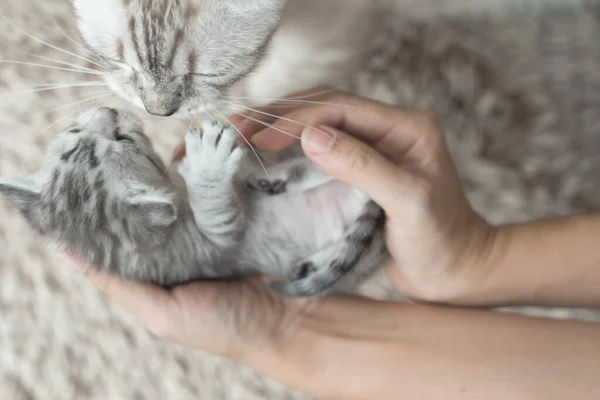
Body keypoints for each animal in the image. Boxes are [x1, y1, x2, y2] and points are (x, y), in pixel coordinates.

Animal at [0, 107, 386, 296]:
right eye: (123, 137)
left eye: (75, 133)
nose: (107, 108)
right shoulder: (209, 252)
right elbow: (220, 218)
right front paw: (208, 167)